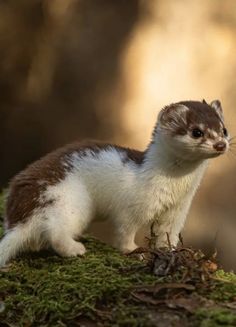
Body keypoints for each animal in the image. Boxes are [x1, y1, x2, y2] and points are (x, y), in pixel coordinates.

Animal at [0, 100, 229, 266]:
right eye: (196, 131)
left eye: (224, 129)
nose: (220, 144)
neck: (175, 189)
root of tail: (21, 214)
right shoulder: (132, 206)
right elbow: (125, 230)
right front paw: (134, 251)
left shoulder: (179, 210)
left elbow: (168, 234)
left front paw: (172, 253)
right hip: (69, 200)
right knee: (57, 233)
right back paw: (76, 249)